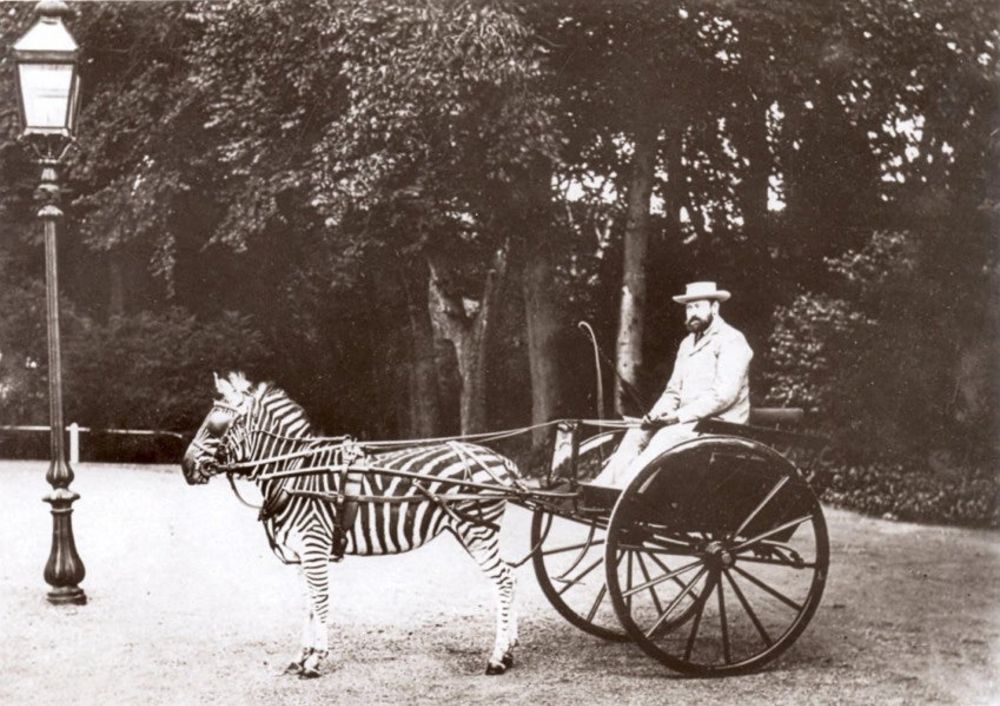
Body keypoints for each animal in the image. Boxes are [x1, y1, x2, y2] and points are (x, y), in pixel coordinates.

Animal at [181, 372, 520, 678]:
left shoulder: (314, 545)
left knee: (503, 580)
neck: (295, 474)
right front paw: (301, 656)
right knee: (511, 576)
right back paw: (510, 650)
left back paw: (497, 658)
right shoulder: (301, 552)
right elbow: (307, 602)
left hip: (477, 529)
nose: (185, 468)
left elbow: (320, 599)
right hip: (471, 529)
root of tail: (500, 459)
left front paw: (316, 660)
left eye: (216, 425)